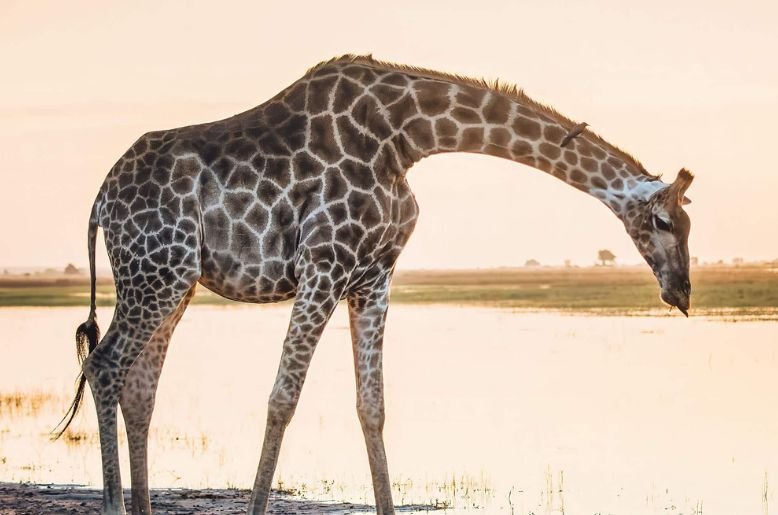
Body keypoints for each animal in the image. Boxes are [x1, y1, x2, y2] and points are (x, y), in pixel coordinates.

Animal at [55, 55, 694, 515]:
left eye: (688, 224)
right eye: (664, 221)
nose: (682, 293)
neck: (408, 137)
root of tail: (100, 202)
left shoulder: (373, 277)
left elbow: (373, 405)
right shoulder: (325, 262)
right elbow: (282, 399)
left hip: (175, 282)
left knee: (140, 387)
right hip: (153, 273)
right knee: (105, 365)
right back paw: (113, 506)